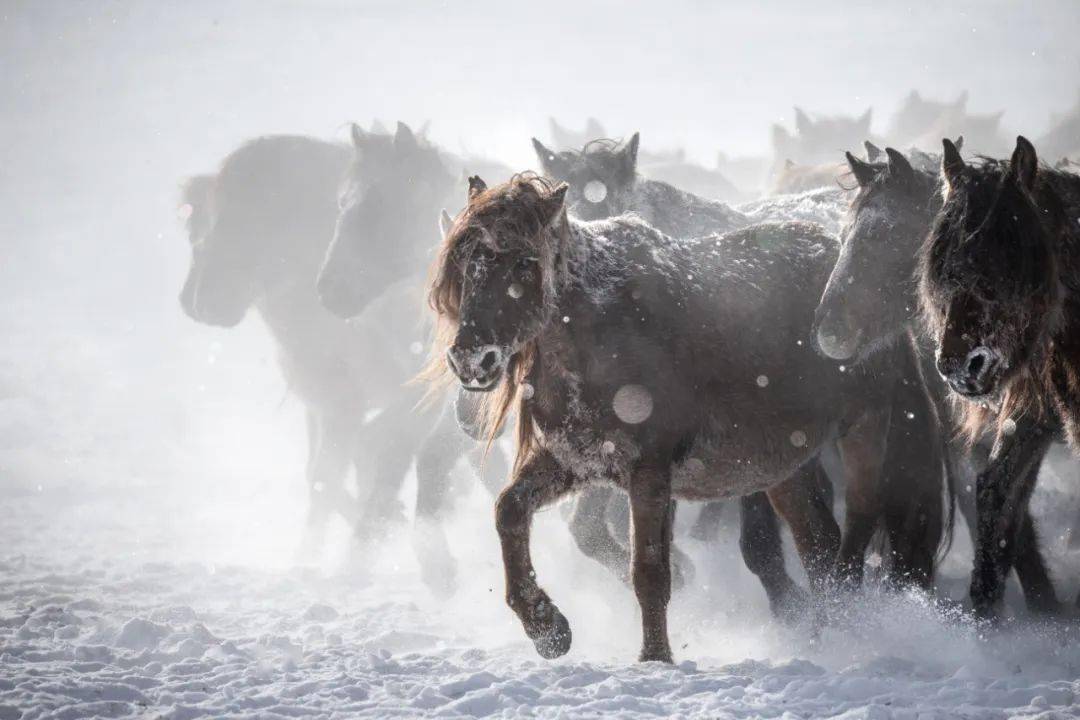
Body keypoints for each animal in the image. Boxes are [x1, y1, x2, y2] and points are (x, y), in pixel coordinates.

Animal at [425, 174, 941, 664]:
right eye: (463, 266)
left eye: (523, 263)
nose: (471, 360)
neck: (598, 328)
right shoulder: (574, 461)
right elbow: (509, 510)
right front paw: (547, 628)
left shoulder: (650, 471)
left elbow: (650, 572)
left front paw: (655, 659)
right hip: (783, 468)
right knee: (817, 545)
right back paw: (821, 633)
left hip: (863, 429)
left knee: (857, 524)